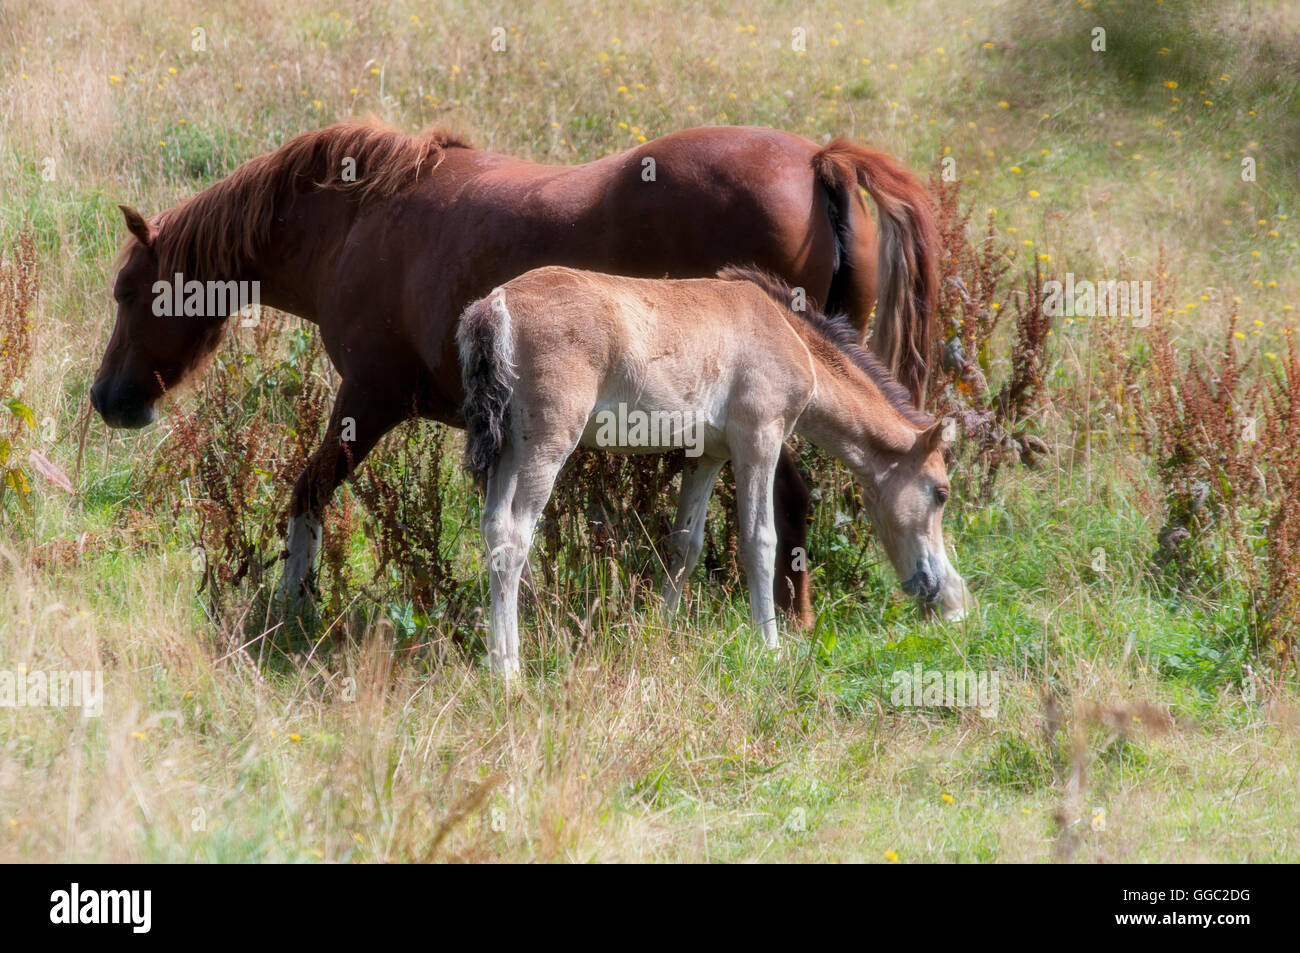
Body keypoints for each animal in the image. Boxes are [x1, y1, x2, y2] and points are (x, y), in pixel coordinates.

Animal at [90, 120, 939, 626]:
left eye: (128, 291)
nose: (107, 399)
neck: (357, 221)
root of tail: (817, 160)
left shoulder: (369, 399)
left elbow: (308, 492)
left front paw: (299, 604)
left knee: (790, 504)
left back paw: (789, 619)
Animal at [458, 265, 970, 677]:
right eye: (941, 492)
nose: (950, 599)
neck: (788, 335)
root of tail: (495, 305)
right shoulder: (759, 440)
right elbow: (760, 542)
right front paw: (770, 645)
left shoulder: (707, 456)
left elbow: (686, 543)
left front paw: (661, 630)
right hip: (547, 443)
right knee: (513, 536)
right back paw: (507, 669)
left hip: (508, 452)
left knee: (492, 527)